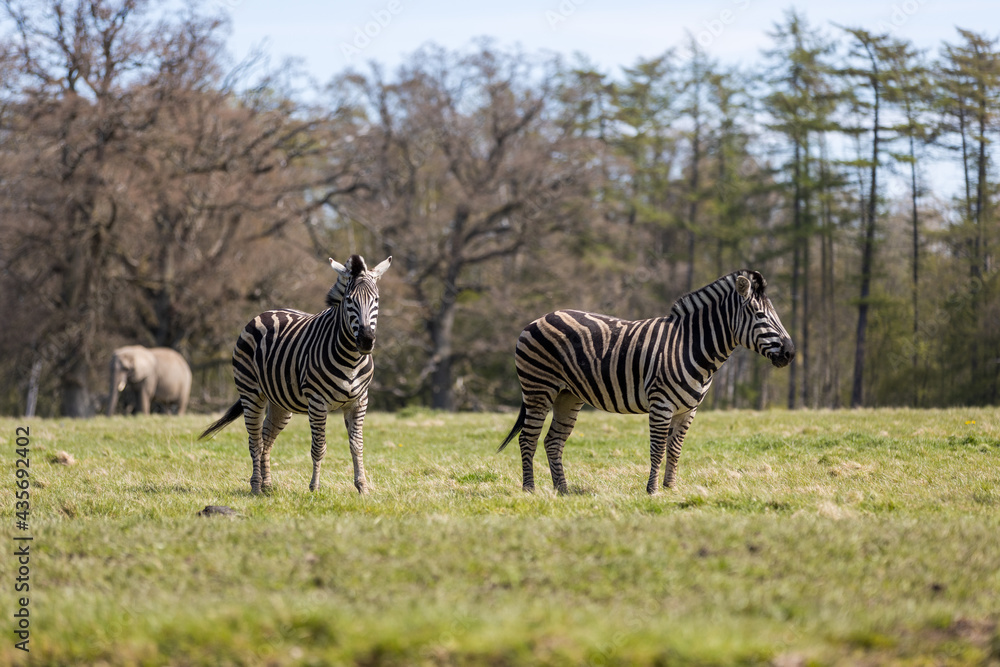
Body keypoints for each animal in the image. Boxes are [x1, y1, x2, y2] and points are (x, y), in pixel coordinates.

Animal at [200, 254, 392, 494]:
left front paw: (362, 488)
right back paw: (255, 486)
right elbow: (319, 447)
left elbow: (357, 446)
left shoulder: (359, 401)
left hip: (280, 402)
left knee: (266, 437)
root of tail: (267, 312)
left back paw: (267, 485)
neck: (352, 359)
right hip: (250, 393)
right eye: (349, 300)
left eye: (376, 299)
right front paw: (315, 488)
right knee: (254, 440)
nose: (366, 340)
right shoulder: (317, 402)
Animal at [498, 269, 794, 495]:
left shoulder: (688, 410)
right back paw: (529, 490)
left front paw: (671, 488)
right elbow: (657, 449)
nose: (790, 353)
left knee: (553, 441)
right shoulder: (661, 404)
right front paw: (652, 491)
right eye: (760, 316)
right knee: (528, 438)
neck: (690, 346)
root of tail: (540, 318)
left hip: (568, 395)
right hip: (539, 389)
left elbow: (674, 450)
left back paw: (563, 491)